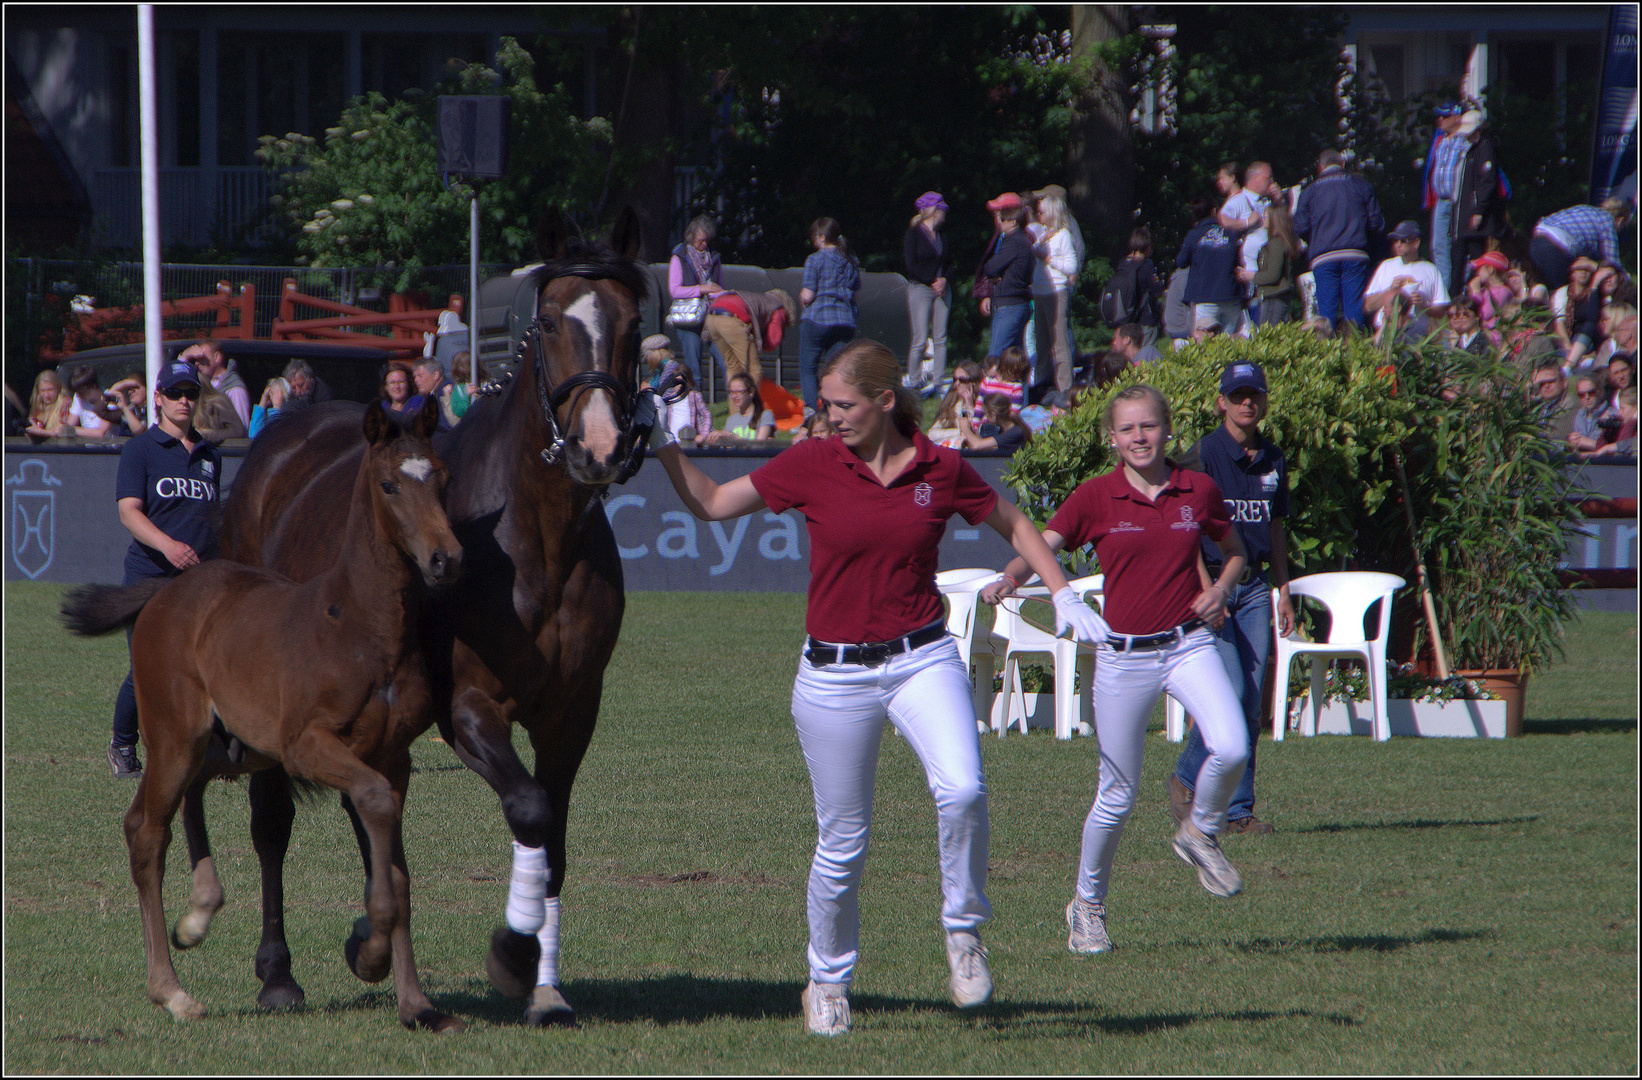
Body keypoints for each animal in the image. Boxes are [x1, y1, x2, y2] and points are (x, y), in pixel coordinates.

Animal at [62, 398, 463, 1030]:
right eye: (390, 484)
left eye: (442, 480)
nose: (445, 558)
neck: (362, 626)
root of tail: (166, 593)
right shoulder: (307, 746)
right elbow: (373, 805)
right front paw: (371, 951)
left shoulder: (393, 757)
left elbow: (397, 869)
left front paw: (417, 1003)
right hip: (176, 735)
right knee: (145, 830)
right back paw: (171, 990)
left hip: (228, 746)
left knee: (189, 794)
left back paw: (199, 912)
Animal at [216, 205, 646, 1024]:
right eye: (548, 321)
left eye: (636, 324)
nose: (600, 447)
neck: (535, 538)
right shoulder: (469, 707)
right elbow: (530, 810)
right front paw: (513, 954)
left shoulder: (574, 711)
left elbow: (555, 836)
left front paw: (545, 987)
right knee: (272, 818)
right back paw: (279, 972)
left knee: (367, 800)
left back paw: (369, 937)